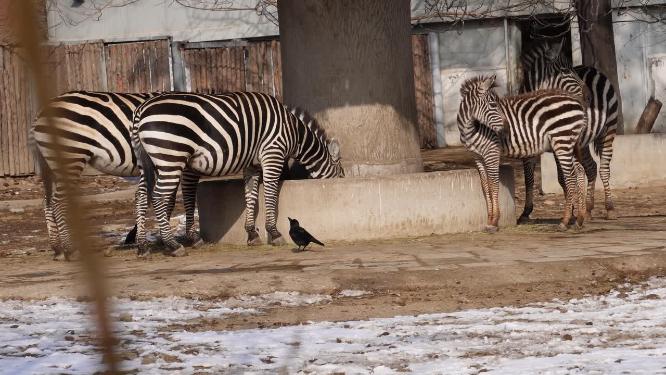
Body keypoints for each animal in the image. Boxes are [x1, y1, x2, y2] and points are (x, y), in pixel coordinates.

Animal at [31, 92, 162, 262]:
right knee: (57, 202)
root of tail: (40, 113)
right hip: (70, 158)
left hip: (52, 165)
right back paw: (70, 250)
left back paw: (57, 249)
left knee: (46, 202)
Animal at [133, 91, 344, 258]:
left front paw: (252, 234)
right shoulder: (272, 153)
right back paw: (173, 245)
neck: (293, 132)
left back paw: (143, 247)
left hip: (149, 162)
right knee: (158, 197)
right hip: (171, 157)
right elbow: (270, 192)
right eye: (342, 176)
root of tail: (141, 110)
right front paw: (274, 233)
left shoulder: (252, 164)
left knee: (142, 196)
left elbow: (251, 195)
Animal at [456, 75, 588, 231]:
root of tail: (577, 101)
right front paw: (489, 220)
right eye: (493, 105)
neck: (471, 128)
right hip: (570, 143)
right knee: (580, 172)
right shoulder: (477, 157)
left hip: (562, 140)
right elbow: (485, 186)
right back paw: (579, 219)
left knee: (570, 177)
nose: (507, 129)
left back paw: (565, 221)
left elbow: (494, 184)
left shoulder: (492, 152)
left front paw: (494, 221)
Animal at [520, 41, 616, 223]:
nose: (589, 97)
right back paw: (589, 208)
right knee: (591, 167)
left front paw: (572, 211)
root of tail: (592, 69)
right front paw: (526, 212)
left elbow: (565, 176)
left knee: (604, 168)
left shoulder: (560, 141)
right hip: (582, 142)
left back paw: (609, 207)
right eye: (565, 71)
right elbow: (529, 177)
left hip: (609, 128)